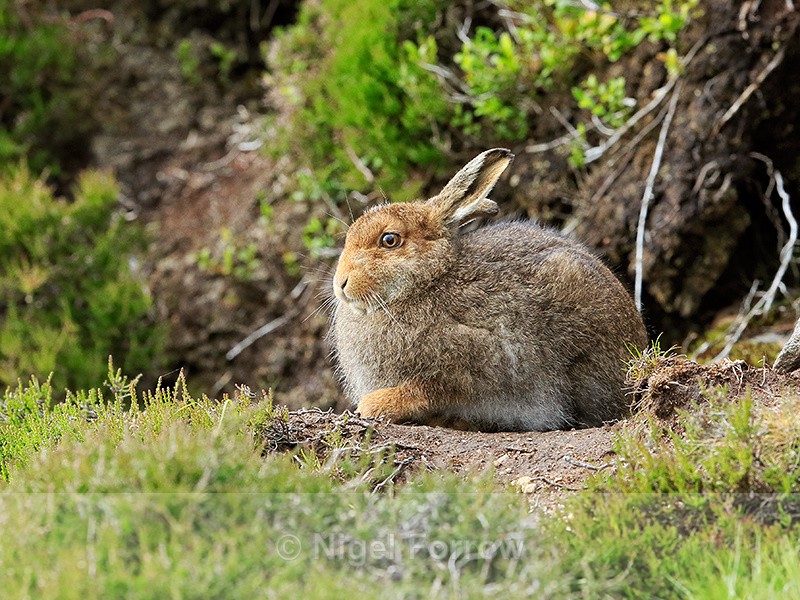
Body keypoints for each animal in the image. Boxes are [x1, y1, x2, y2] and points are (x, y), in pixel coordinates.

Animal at [330, 148, 648, 431]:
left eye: (389, 240)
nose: (341, 284)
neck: (430, 280)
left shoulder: (470, 363)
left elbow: (429, 390)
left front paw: (375, 404)